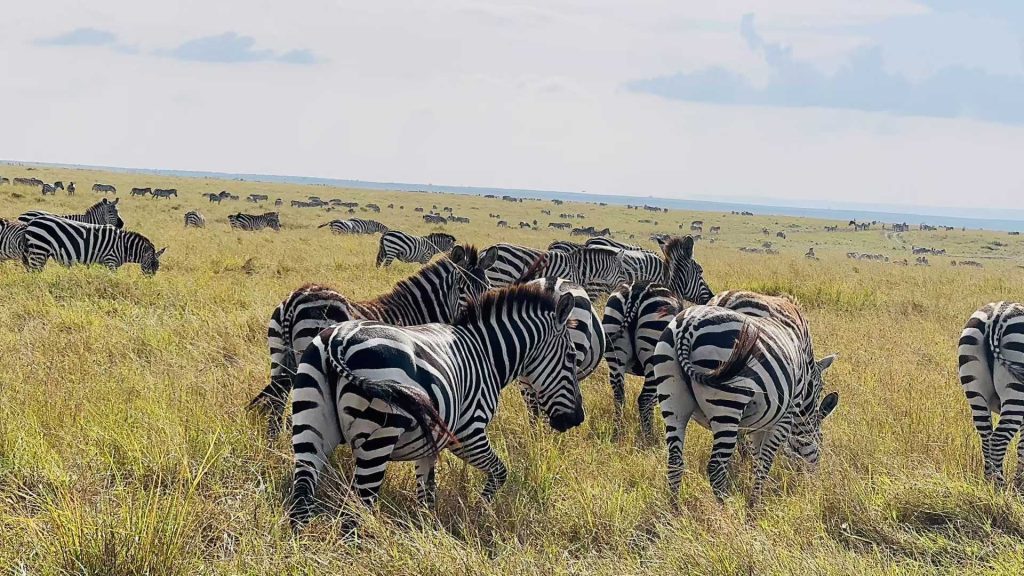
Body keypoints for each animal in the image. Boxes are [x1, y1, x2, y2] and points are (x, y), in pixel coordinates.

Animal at [22, 215, 166, 275]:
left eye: (157, 268)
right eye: (149, 265)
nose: (147, 283)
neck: (124, 247)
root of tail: (31, 222)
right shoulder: (110, 261)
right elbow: (112, 278)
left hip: (40, 252)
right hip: (39, 250)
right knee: (33, 273)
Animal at [250, 244, 497, 439]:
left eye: (486, 287)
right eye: (462, 288)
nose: (477, 314)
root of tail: (296, 297)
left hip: (279, 356)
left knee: (277, 400)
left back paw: (273, 444)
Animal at [287, 282, 583, 529]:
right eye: (571, 357)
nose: (577, 419)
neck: (486, 354)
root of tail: (339, 340)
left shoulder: (429, 443)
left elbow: (427, 494)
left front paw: (427, 531)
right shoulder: (467, 433)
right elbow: (500, 472)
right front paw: (480, 512)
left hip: (309, 427)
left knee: (301, 499)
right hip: (378, 437)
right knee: (356, 513)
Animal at [652, 291, 839, 505]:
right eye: (821, 440)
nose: (813, 484)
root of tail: (687, 328)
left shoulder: (761, 421)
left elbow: (758, 457)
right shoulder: (784, 417)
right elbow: (765, 461)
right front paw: (755, 504)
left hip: (672, 397)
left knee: (675, 460)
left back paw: (674, 508)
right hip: (727, 403)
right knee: (716, 468)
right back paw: (726, 509)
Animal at [958, 302, 1024, 488]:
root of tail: (997, 316)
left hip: (974, 389)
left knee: (986, 438)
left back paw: (988, 485)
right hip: (1015, 392)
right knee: (997, 440)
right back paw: (1000, 489)